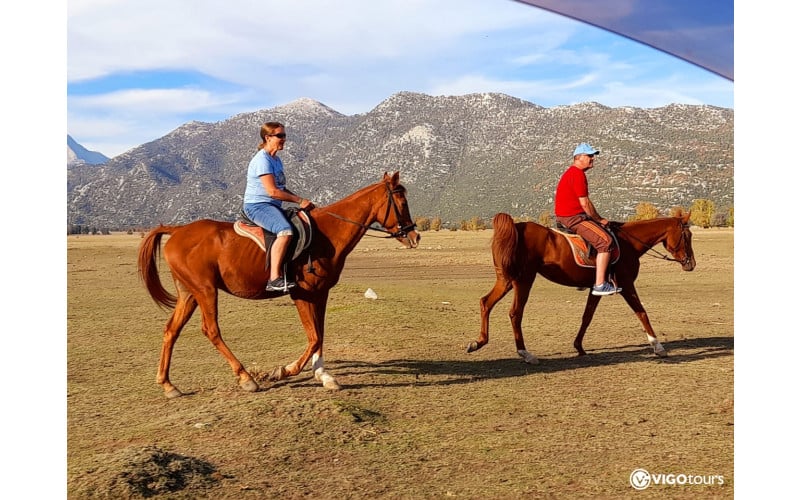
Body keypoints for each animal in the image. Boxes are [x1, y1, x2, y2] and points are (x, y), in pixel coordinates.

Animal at [138, 172, 419, 398]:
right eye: (402, 202)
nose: (415, 235)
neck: (327, 235)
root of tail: (177, 231)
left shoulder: (320, 294)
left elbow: (320, 334)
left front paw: (323, 375)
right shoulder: (301, 294)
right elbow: (314, 337)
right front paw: (284, 370)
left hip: (189, 293)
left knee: (171, 331)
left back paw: (168, 385)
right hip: (205, 290)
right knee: (211, 330)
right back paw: (246, 378)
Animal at [467, 212, 695, 364]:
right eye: (687, 236)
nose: (691, 264)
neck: (628, 243)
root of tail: (516, 227)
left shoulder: (597, 287)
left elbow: (587, 316)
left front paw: (579, 346)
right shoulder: (627, 285)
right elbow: (642, 312)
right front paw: (658, 346)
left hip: (506, 279)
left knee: (486, 302)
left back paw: (478, 342)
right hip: (524, 280)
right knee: (515, 313)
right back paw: (525, 353)